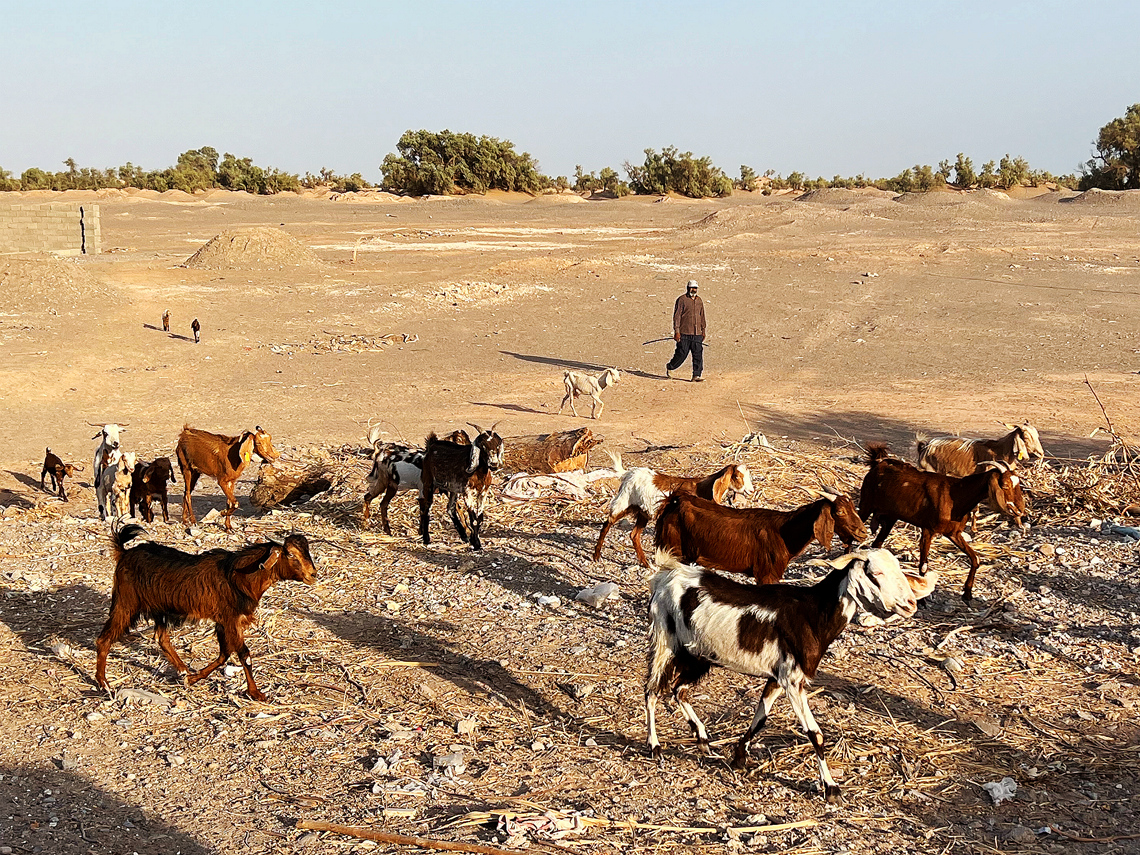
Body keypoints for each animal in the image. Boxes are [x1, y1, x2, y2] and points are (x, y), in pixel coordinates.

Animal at [96, 522, 319, 702]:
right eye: (290, 554)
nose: (313, 575)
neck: (238, 576)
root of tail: (124, 553)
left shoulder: (223, 622)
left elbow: (225, 654)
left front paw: (192, 678)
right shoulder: (230, 619)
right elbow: (244, 655)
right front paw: (256, 693)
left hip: (158, 608)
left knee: (161, 638)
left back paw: (182, 669)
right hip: (126, 603)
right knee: (104, 639)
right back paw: (104, 684)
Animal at [592, 456, 752, 570]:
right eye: (737, 476)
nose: (751, 490)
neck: (704, 489)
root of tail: (628, 473)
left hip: (643, 512)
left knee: (634, 534)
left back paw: (646, 563)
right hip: (624, 501)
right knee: (607, 524)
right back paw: (596, 556)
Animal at [647, 549, 930, 802]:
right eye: (875, 573)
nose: (911, 605)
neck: (813, 614)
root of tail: (667, 574)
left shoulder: (777, 677)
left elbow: (760, 719)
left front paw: (739, 757)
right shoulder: (793, 681)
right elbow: (815, 734)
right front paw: (831, 789)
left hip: (698, 654)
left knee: (678, 689)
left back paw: (702, 738)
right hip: (665, 639)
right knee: (652, 691)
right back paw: (655, 747)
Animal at [656, 492, 866, 588]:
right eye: (840, 511)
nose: (863, 532)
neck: (785, 532)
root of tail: (675, 502)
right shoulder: (767, 574)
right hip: (672, 550)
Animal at [857, 444, 1026, 597]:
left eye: (1018, 483)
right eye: (1004, 485)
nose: (1020, 509)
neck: (957, 494)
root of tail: (878, 464)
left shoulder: (954, 533)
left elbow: (975, 558)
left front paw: (967, 593)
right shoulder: (928, 530)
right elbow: (923, 566)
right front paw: (923, 598)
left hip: (891, 517)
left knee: (877, 543)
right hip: (866, 504)